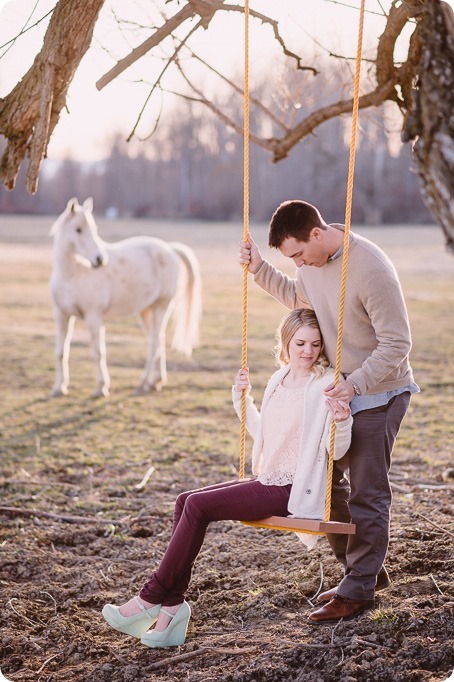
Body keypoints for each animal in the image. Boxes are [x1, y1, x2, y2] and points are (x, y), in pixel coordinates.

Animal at [48, 197, 201, 396]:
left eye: (94, 229)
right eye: (78, 229)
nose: (99, 260)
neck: (74, 274)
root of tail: (171, 249)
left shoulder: (93, 318)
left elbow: (98, 352)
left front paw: (101, 387)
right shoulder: (62, 315)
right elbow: (61, 351)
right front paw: (59, 387)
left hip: (161, 307)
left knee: (153, 344)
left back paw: (143, 383)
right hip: (146, 311)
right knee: (157, 339)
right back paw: (156, 381)